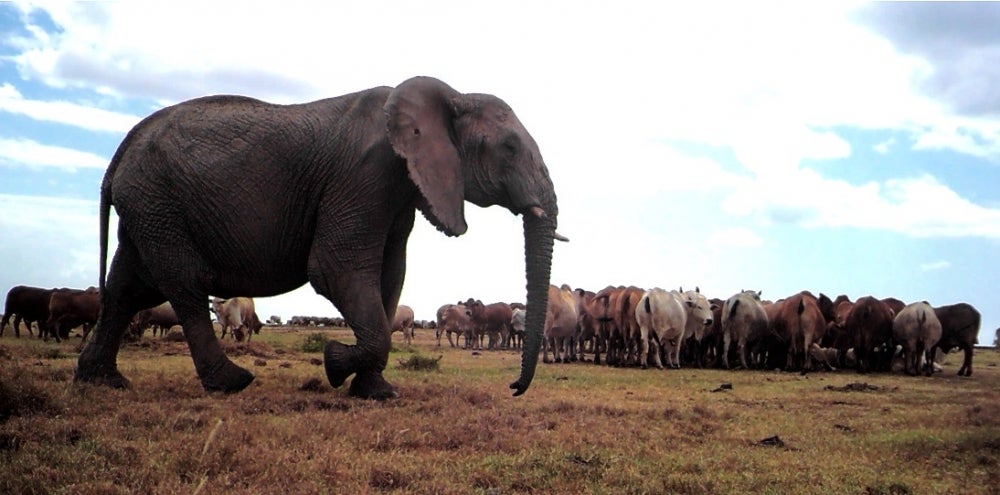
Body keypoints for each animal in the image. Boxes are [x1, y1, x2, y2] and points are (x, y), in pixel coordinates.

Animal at [73, 76, 564, 400]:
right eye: (509, 148)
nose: (513, 388)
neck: (449, 96)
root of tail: (120, 153)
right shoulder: (365, 176)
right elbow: (335, 268)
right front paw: (333, 363)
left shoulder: (399, 191)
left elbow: (390, 277)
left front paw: (377, 392)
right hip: (160, 203)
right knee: (183, 284)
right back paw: (232, 383)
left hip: (147, 207)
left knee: (126, 289)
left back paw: (103, 381)